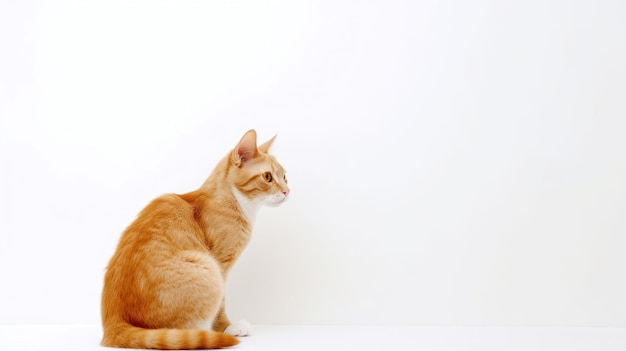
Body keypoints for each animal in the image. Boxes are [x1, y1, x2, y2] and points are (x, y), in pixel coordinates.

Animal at [101, 131, 288, 350]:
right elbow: (221, 304)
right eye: (268, 177)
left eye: (285, 177)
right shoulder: (220, 264)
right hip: (206, 267)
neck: (234, 201)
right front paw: (227, 327)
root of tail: (113, 322)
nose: (287, 191)